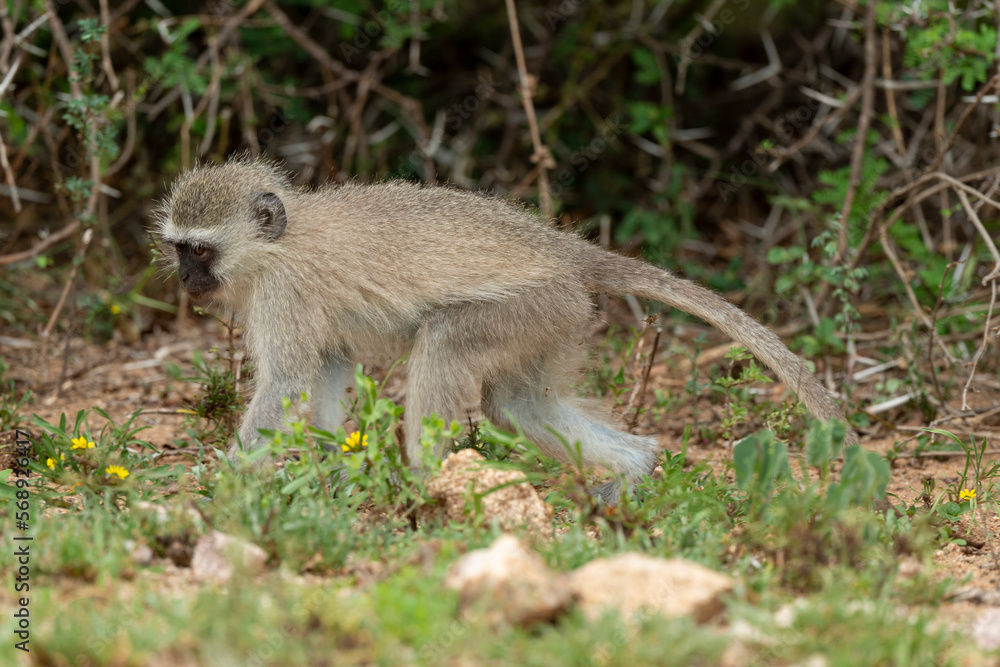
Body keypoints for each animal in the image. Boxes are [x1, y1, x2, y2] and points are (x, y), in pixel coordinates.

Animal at [152, 158, 856, 500]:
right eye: (180, 249)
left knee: (444, 346)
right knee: (519, 401)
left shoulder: (284, 292)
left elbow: (288, 381)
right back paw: (633, 470)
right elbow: (322, 375)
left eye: (202, 250)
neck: (279, 242)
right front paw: (329, 480)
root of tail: (568, 253)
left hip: (531, 305)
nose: (186, 280)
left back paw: (428, 488)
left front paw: (222, 486)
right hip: (560, 318)